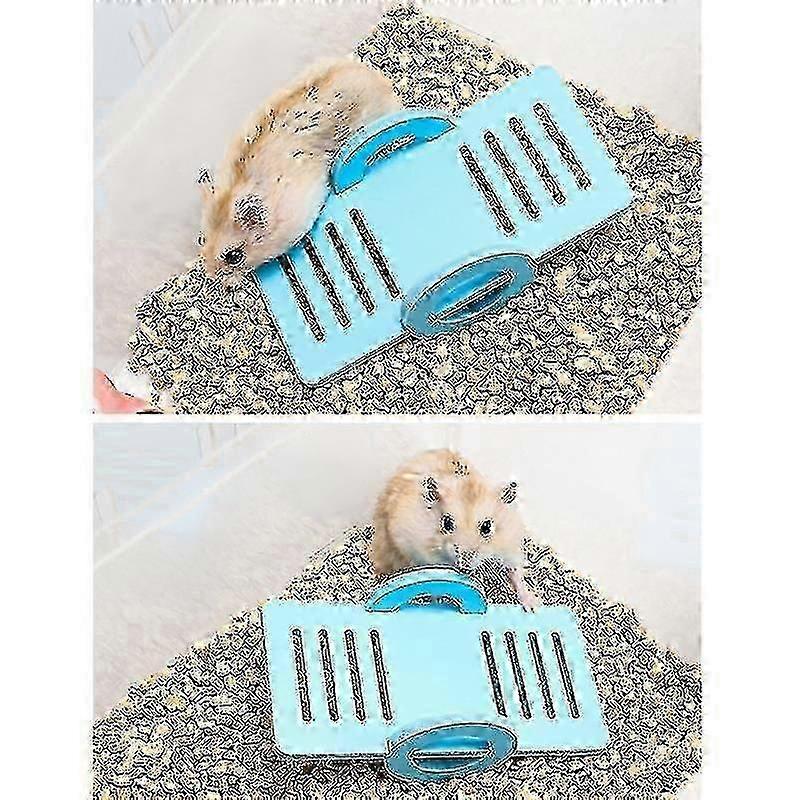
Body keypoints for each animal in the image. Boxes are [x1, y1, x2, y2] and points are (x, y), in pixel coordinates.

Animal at [371, 449, 541, 610]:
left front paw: (533, 606)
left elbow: (516, 570)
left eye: (487, 527)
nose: (464, 565)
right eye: (447, 523)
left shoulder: (511, 542)